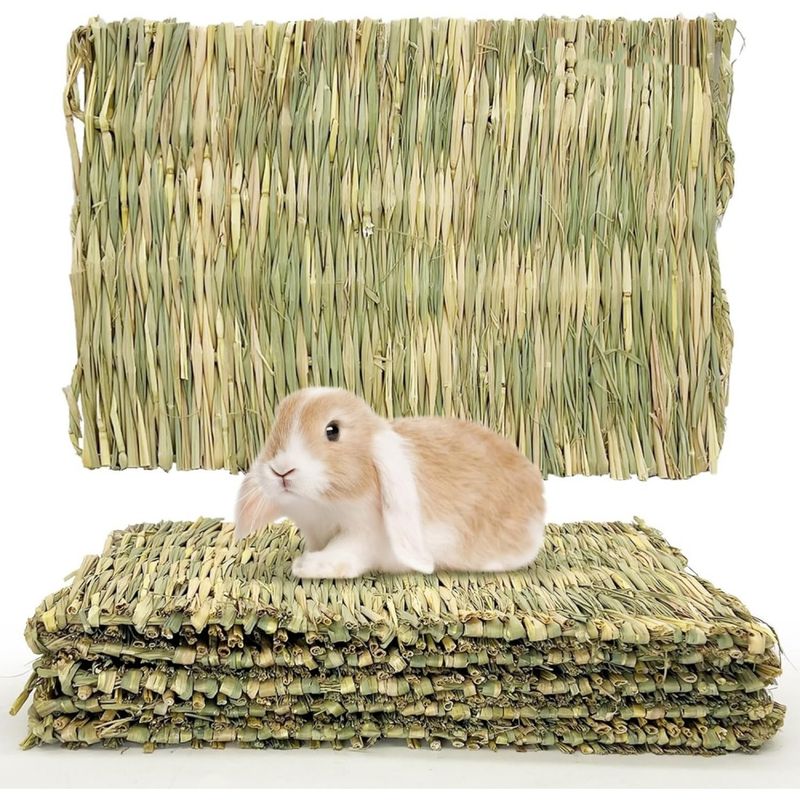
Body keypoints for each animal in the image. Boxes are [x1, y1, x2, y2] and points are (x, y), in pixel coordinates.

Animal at [234, 387, 546, 579]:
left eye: (332, 430)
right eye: (276, 425)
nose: (281, 470)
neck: (324, 509)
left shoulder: (362, 535)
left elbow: (345, 551)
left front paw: (307, 566)